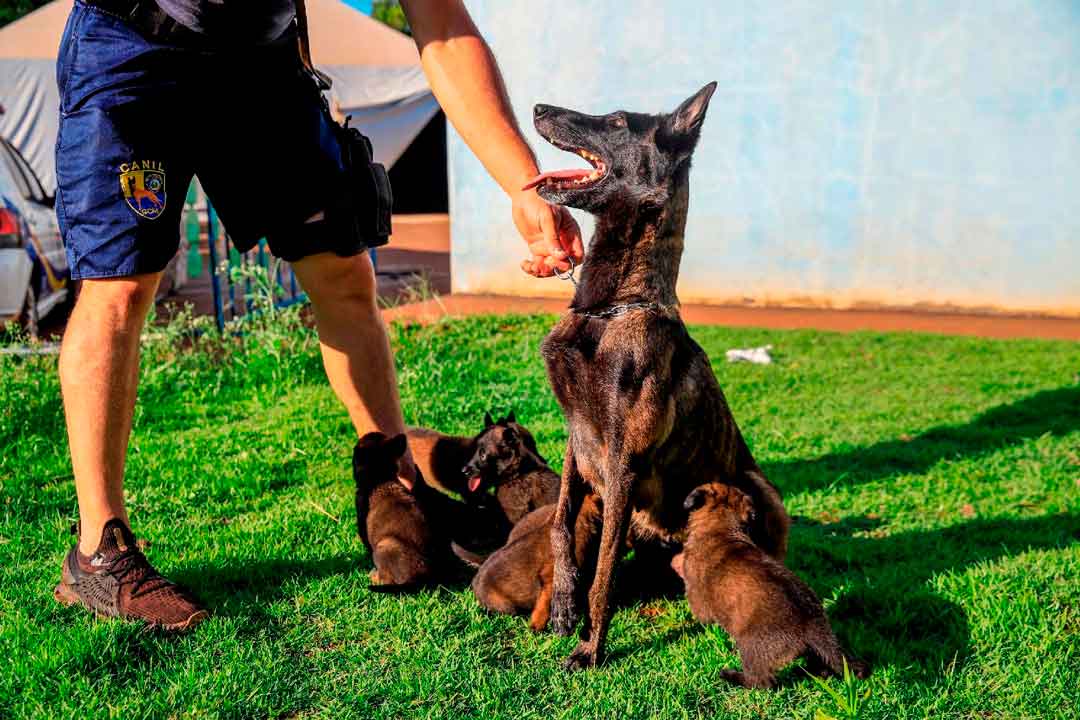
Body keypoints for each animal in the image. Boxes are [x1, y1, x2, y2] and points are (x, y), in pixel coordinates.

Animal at [535, 84, 790, 669]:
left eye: (617, 121)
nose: (536, 108)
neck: (609, 310)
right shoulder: (576, 439)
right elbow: (560, 524)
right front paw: (563, 603)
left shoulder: (622, 462)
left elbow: (604, 573)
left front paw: (592, 647)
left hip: (764, 490)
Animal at [673, 483, 868, 686]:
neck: (721, 528)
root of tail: (812, 626)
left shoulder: (698, 598)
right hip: (816, 649)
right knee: (820, 665)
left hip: (750, 647)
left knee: (761, 682)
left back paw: (731, 676)